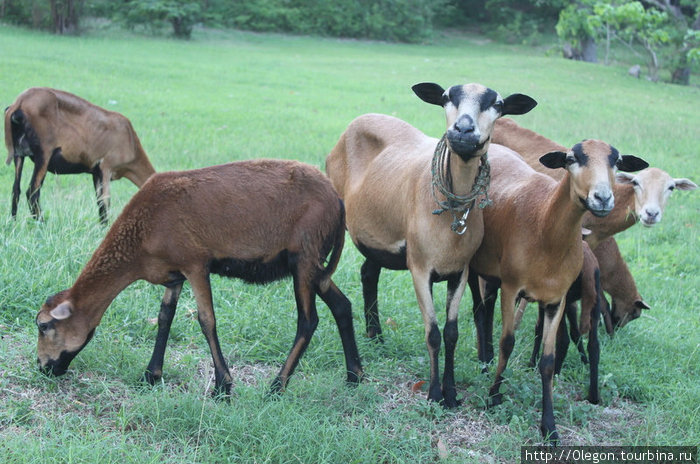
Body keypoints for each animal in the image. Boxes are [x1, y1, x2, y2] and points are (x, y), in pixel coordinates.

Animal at [33, 159, 364, 396]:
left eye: (44, 326)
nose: (42, 367)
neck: (139, 242)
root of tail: (338, 200)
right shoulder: (174, 275)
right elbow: (165, 317)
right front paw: (151, 375)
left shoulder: (196, 265)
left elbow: (207, 321)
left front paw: (223, 386)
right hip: (315, 265)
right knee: (342, 305)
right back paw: (354, 376)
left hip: (304, 258)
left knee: (308, 321)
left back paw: (277, 386)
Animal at [468, 140, 648, 442]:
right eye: (571, 159)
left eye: (618, 162)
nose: (602, 198)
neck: (544, 226)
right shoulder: (512, 287)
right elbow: (508, 342)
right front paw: (493, 396)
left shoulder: (557, 300)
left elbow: (549, 360)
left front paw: (549, 427)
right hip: (473, 265)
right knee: (480, 311)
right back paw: (484, 361)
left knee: (487, 308)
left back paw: (486, 358)